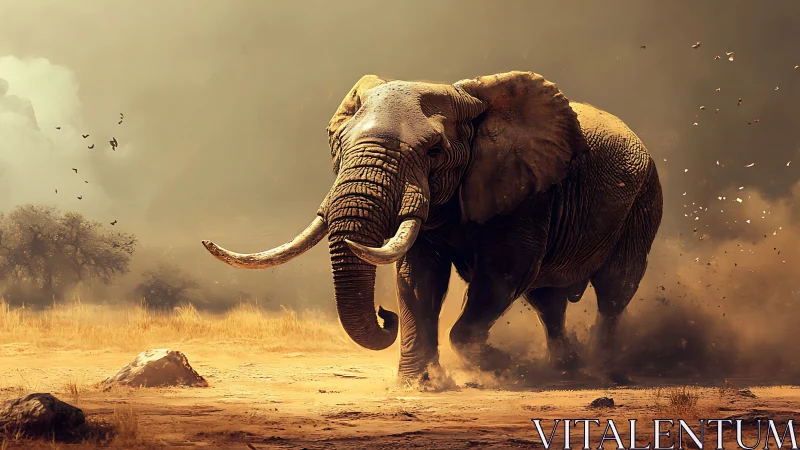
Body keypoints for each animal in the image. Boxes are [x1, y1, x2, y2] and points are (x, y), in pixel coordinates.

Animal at [202, 71, 663, 385]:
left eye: (434, 151)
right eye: (339, 145)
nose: (383, 314)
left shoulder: (527, 193)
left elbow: (503, 274)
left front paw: (503, 367)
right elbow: (418, 277)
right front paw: (422, 385)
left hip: (644, 201)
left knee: (614, 289)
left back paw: (599, 372)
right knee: (548, 300)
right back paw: (565, 370)